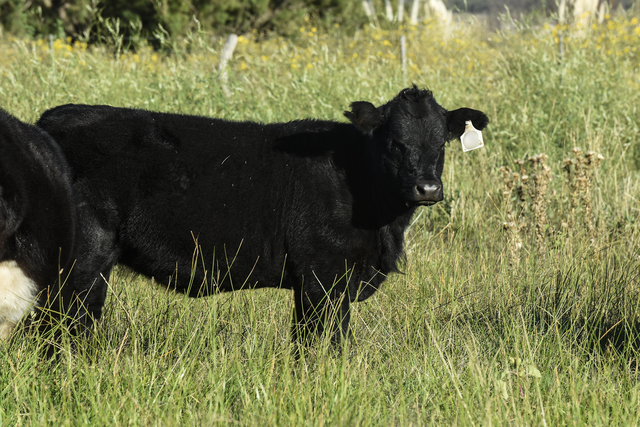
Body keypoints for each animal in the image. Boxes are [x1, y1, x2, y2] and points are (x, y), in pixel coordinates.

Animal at [37, 86, 488, 346]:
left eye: (442, 143)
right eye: (395, 142)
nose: (428, 188)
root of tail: (52, 118)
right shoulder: (322, 278)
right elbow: (320, 346)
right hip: (83, 256)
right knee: (63, 324)